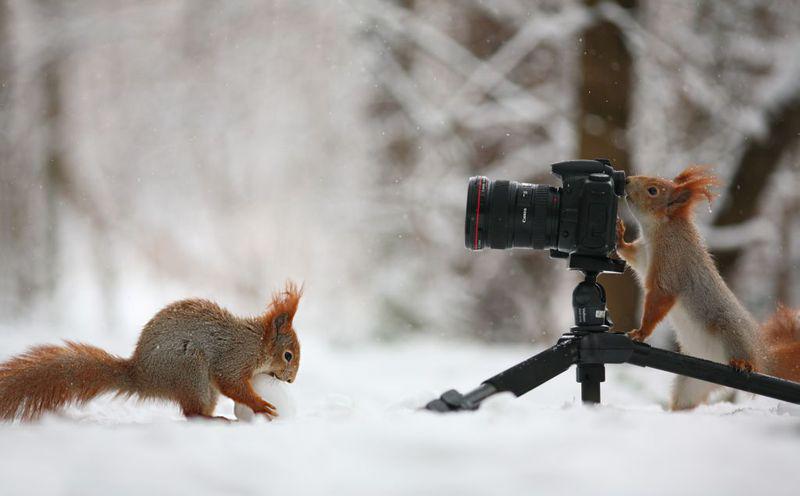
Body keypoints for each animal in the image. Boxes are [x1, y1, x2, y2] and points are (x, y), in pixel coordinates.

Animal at [0, 280, 304, 420]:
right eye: (288, 355)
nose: (291, 381)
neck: (257, 344)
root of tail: (143, 376)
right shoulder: (233, 357)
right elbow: (231, 381)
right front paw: (260, 404)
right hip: (190, 368)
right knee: (191, 413)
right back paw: (219, 421)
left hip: (203, 387)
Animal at [620, 167, 800, 410]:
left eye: (653, 190)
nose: (627, 180)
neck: (660, 230)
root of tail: (764, 356)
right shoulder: (643, 256)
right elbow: (630, 255)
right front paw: (618, 238)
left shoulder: (672, 266)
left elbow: (660, 299)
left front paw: (640, 333)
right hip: (691, 383)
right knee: (685, 401)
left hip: (730, 332)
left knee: (745, 356)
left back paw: (744, 363)